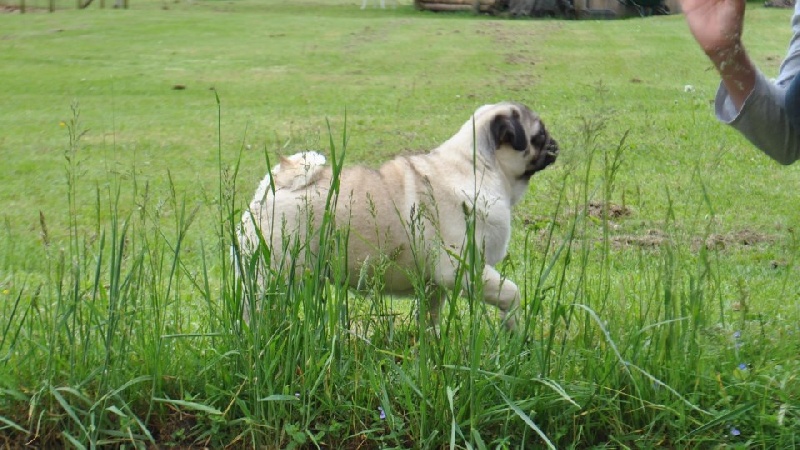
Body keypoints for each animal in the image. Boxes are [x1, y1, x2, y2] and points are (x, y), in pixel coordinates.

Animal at [241, 102, 560, 330]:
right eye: (540, 135)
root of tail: (276, 183)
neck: (481, 167)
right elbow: (512, 293)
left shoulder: (434, 287)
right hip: (274, 274)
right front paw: (514, 330)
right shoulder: (463, 270)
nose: (555, 144)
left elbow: (429, 320)